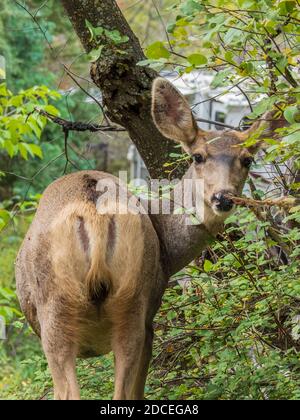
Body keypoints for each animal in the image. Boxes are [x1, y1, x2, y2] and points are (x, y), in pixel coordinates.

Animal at [15, 77, 266, 398]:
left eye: (247, 159)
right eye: (198, 156)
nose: (223, 197)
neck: (168, 250)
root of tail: (94, 213)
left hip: (76, 310)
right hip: (122, 305)